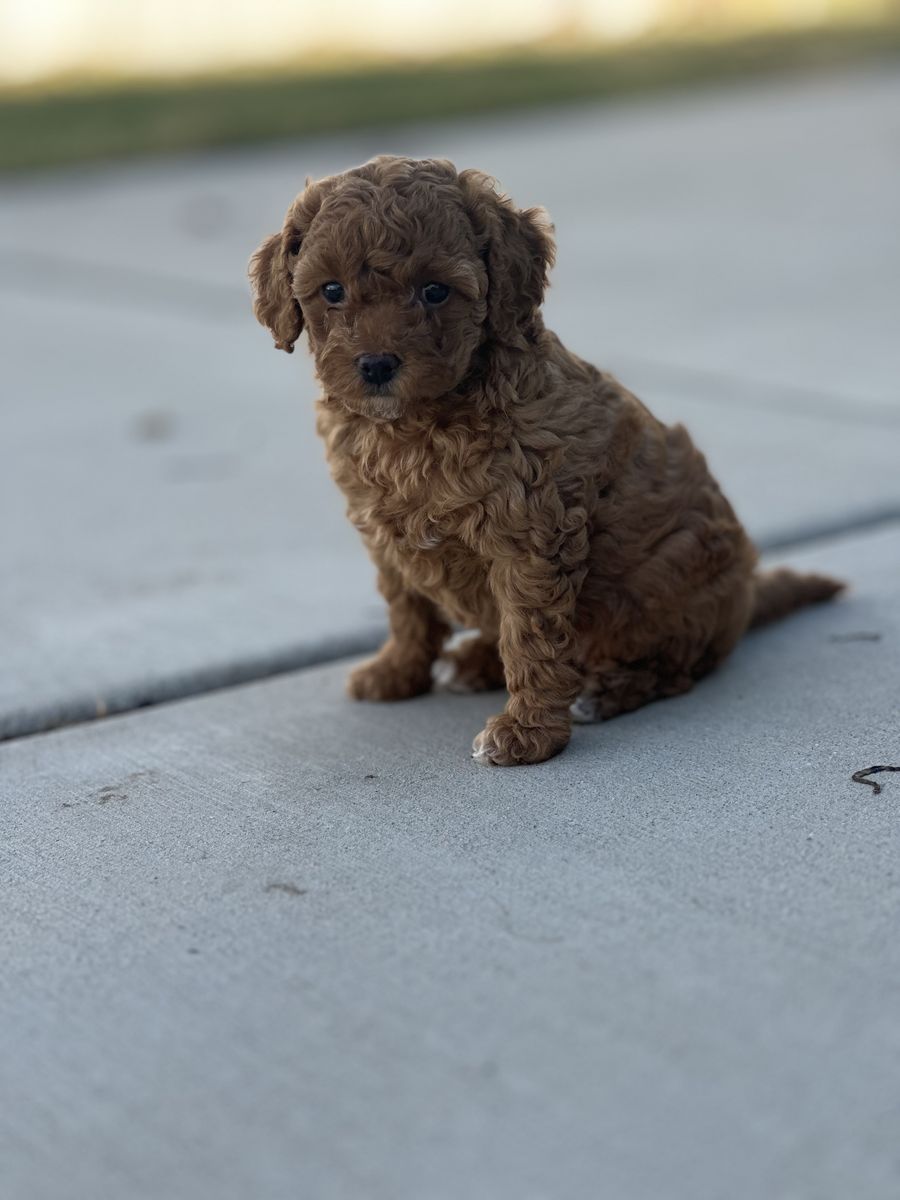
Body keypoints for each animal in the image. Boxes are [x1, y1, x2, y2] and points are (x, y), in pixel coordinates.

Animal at [249, 155, 842, 766]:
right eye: (332, 290)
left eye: (435, 291)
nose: (376, 365)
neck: (412, 426)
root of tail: (745, 601)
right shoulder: (384, 532)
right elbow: (407, 608)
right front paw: (397, 673)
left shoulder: (530, 534)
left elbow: (530, 636)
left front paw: (527, 733)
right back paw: (477, 661)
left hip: (672, 598)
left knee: (668, 669)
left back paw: (604, 692)